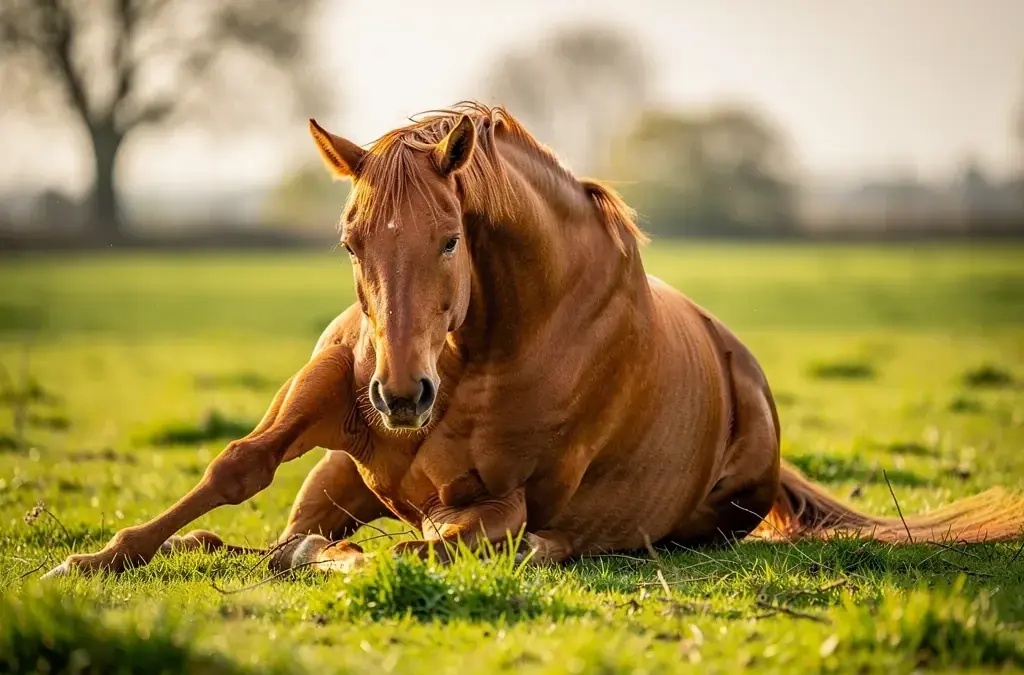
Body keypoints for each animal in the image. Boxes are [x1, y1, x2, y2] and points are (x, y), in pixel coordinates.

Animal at [44, 103, 1024, 579]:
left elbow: (441, 537)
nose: (400, 396)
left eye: (449, 238)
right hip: (339, 478)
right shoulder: (325, 402)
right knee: (270, 534)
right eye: (350, 241)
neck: (475, 349)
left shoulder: (502, 497)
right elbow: (235, 467)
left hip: (719, 506)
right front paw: (91, 557)